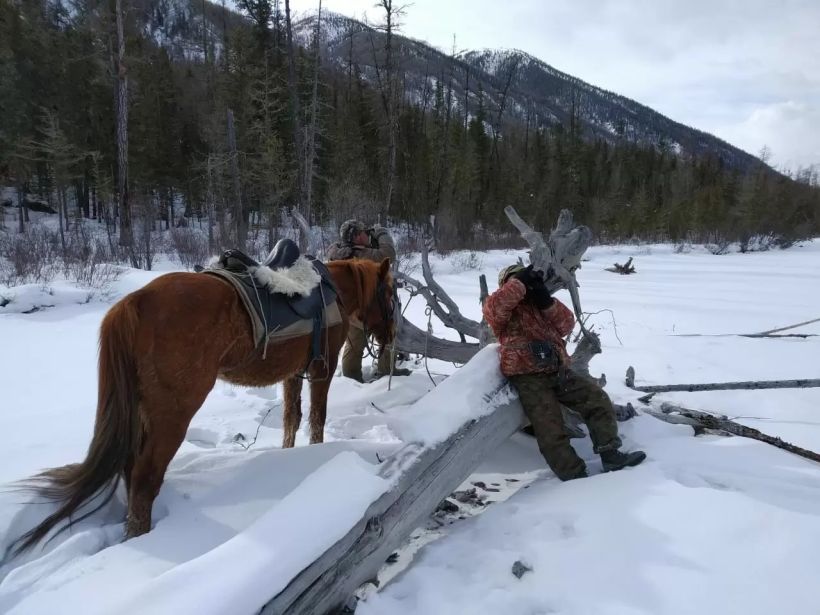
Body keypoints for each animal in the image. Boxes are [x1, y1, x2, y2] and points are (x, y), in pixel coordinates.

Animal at [11, 258, 396, 556]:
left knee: (130, 471)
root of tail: (133, 302)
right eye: (391, 292)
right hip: (173, 415)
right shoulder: (321, 371)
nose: (391, 337)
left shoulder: (292, 376)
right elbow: (316, 419)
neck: (334, 292)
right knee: (144, 479)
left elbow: (291, 418)